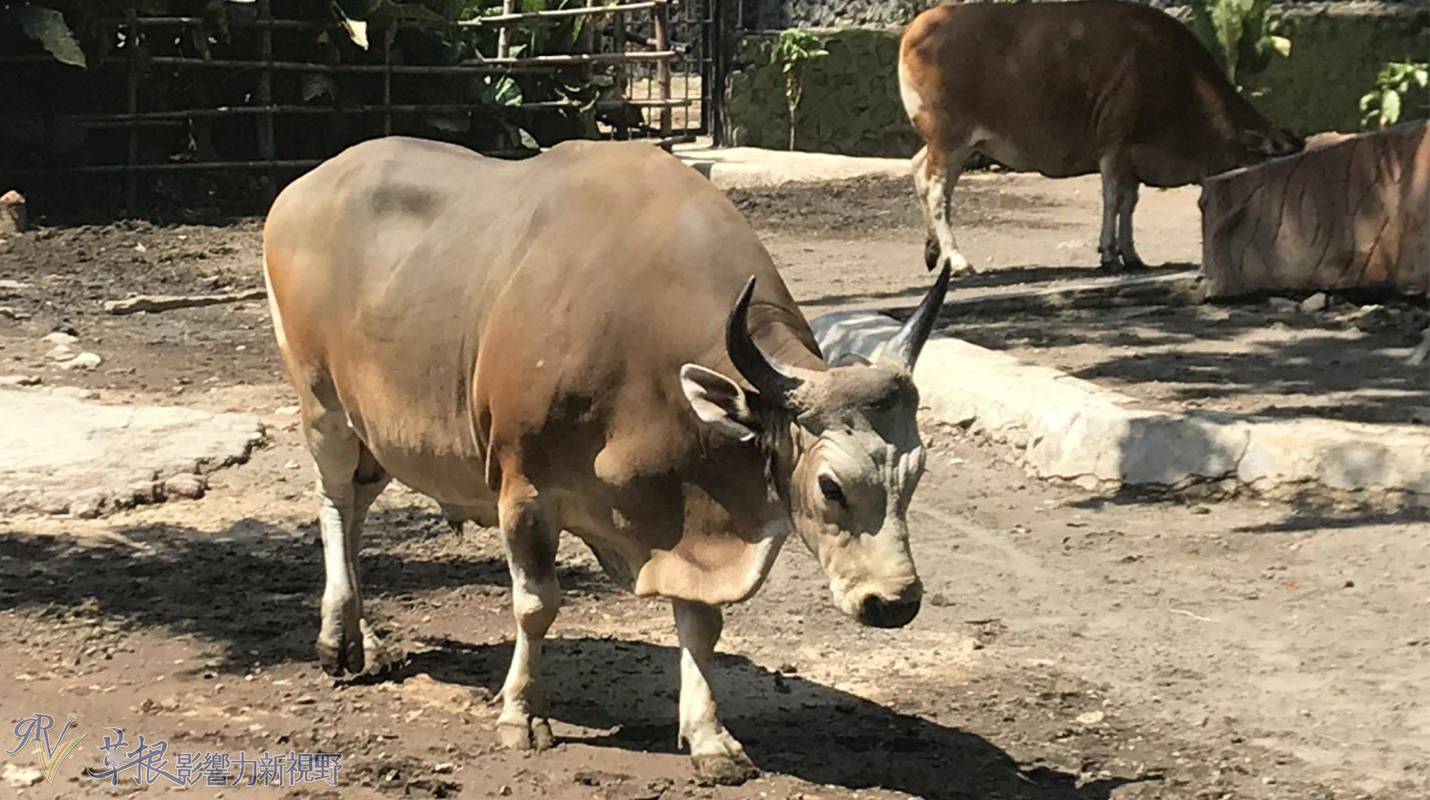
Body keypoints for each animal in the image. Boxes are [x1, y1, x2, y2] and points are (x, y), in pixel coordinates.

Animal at [263, 135, 955, 784]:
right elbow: (536, 605)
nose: (895, 602)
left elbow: (701, 625)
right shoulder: (523, 487)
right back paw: (336, 638)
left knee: (357, 507)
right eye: (831, 486)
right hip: (324, 405)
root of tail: (303, 188)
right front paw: (521, 714)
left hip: (378, 432)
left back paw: (362, 638)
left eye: (916, 474)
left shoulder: (690, 514)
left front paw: (709, 736)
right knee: (334, 503)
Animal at [903, 0, 1309, 273]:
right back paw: (957, 259)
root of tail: (922, 25)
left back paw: (932, 250)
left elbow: (1130, 201)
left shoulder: (1131, 155)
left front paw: (1131, 253)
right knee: (937, 192)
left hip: (953, 144)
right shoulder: (1114, 144)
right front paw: (1109, 254)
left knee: (919, 169)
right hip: (950, 138)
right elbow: (1113, 198)